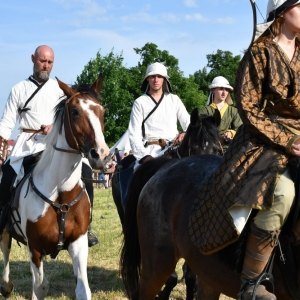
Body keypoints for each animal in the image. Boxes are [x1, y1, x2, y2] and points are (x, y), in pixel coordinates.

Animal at [0, 74, 110, 298]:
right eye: (75, 111)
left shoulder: (78, 243)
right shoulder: (35, 248)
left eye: (102, 111)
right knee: (5, 245)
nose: (101, 155)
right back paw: (5, 284)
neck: (61, 195)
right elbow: (40, 287)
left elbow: (83, 289)